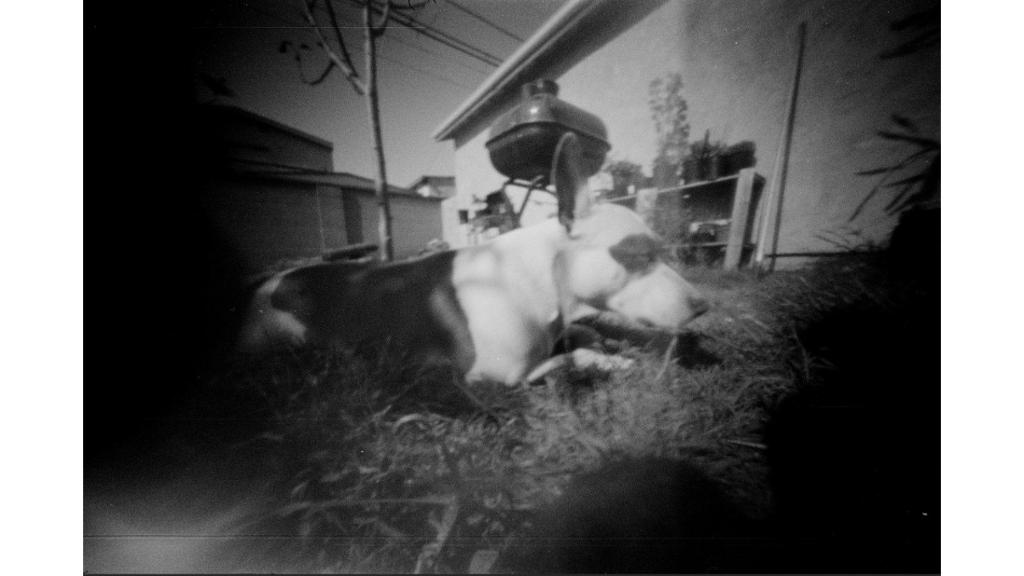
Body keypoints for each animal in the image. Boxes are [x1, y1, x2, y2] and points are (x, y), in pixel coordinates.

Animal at [239, 134, 708, 383]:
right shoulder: (498, 378)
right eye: (638, 254)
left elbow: (582, 335)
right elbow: (572, 357)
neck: (538, 281)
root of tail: (267, 284)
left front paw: (603, 341)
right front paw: (613, 359)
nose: (703, 305)